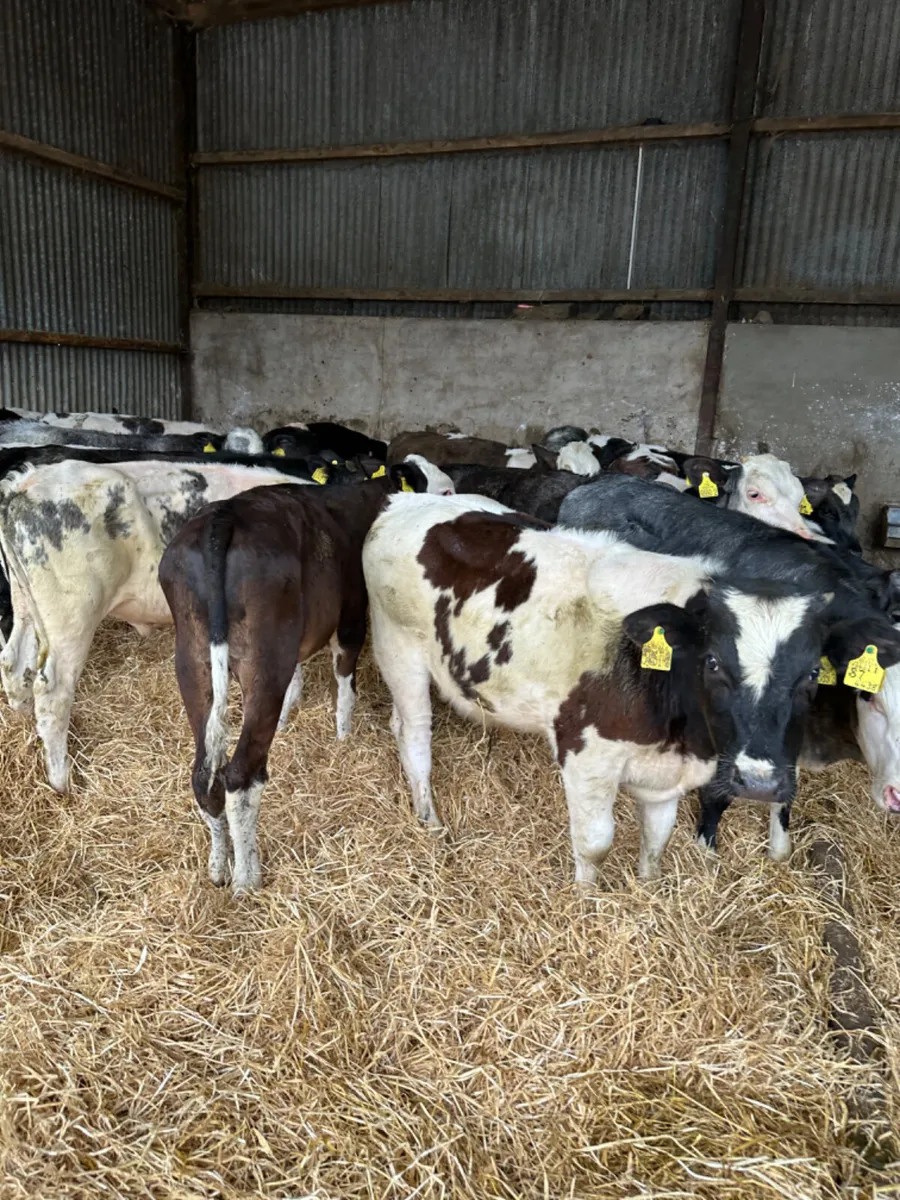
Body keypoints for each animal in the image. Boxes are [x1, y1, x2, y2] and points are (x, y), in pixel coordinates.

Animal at [158, 464, 434, 893]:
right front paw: (343, 734)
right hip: (265, 659)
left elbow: (298, 678)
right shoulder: (352, 614)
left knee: (204, 774)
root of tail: (224, 516)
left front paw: (291, 718)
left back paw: (219, 867)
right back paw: (246, 878)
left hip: (194, 659)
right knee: (241, 774)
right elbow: (345, 677)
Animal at [362, 493, 899, 883]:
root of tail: (404, 502)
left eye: (811, 675)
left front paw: (647, 890)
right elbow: (596, 843)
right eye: (712, 662)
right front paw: (586, 902)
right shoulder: (586, 755)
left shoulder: (668, 775)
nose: (760, 782)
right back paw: (428, 817)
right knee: (415, 736)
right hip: (399, 650)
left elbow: (656, 840)